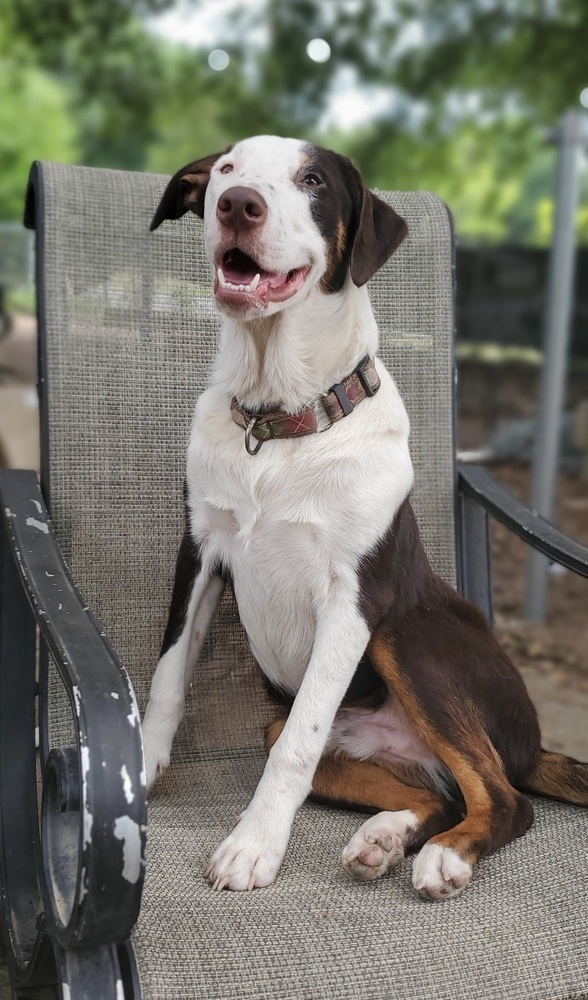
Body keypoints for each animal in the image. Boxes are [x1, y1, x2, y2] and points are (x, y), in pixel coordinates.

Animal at [142, 135, 588, 900]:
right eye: (227, 170)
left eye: (313, 181)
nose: (238, 206)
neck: (278, 418)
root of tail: (534, 747)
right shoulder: (202, 551)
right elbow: (169, 675)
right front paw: (132, 769)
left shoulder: (353, 599)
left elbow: (295, 749)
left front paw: (253, 846)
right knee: (438, 792)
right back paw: (386, 837)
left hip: (406, 635)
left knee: (506, 798)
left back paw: (447, 855)